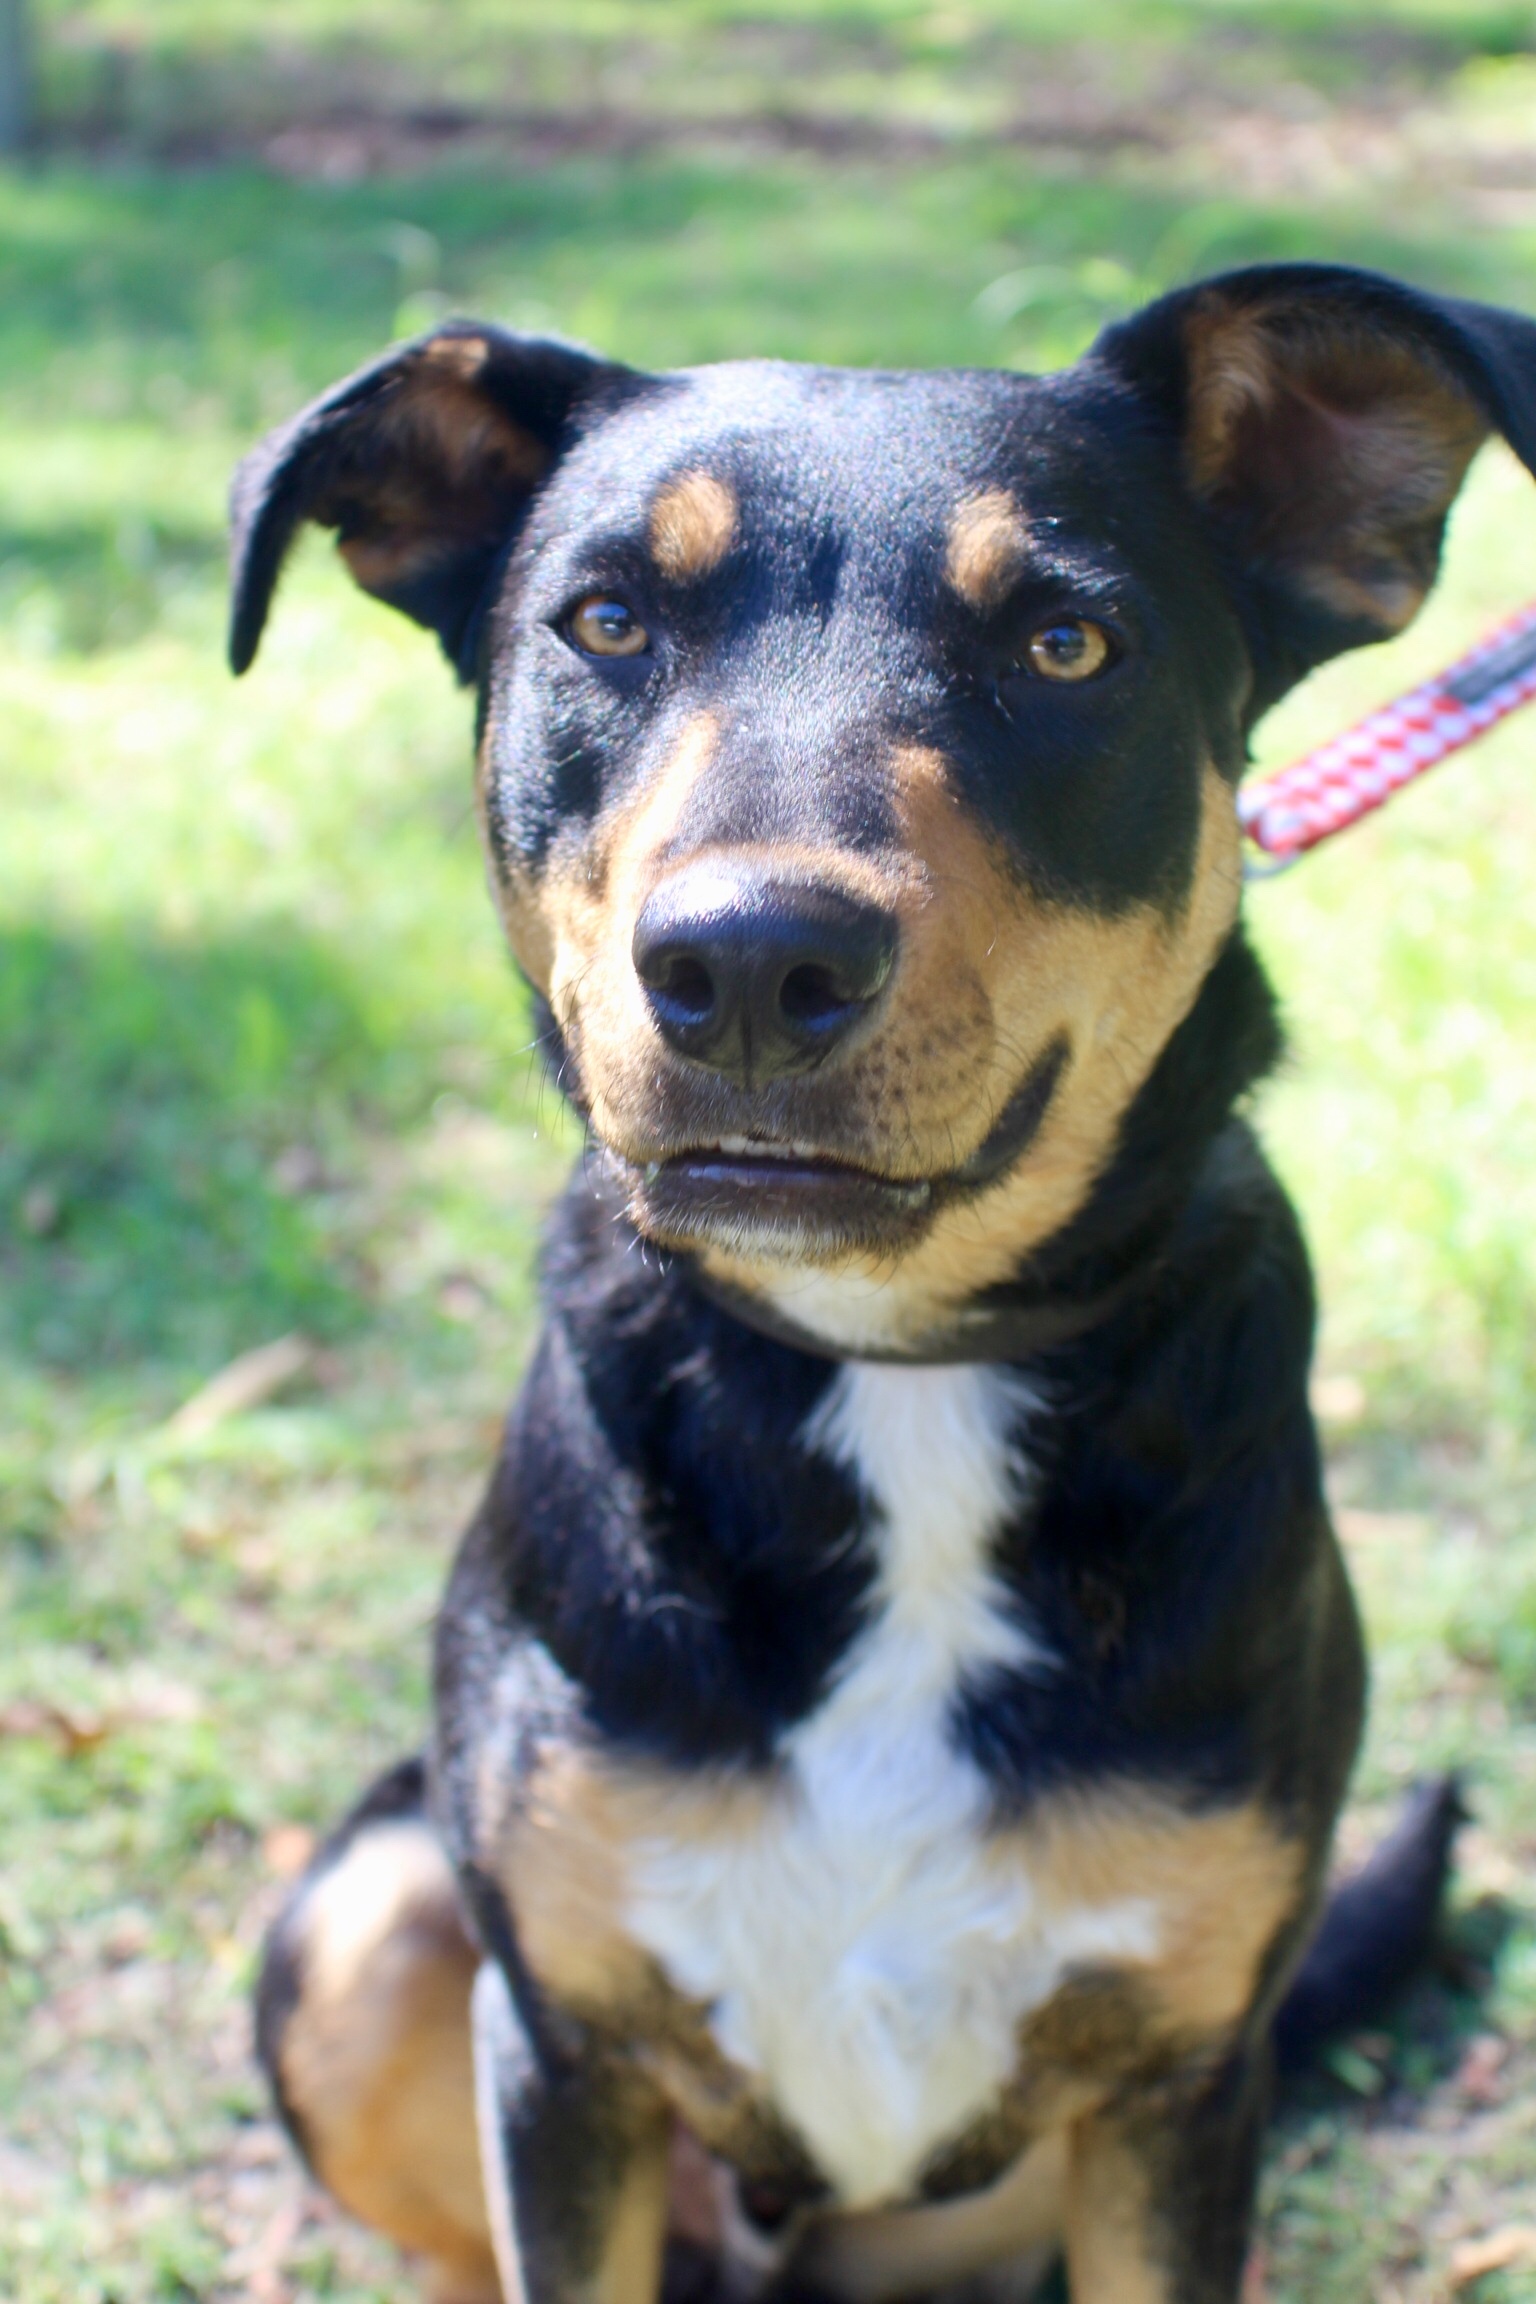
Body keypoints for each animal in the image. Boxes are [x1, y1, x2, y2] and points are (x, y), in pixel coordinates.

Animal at [230, 263, 1526, 2304]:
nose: (751, 963)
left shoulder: (1179, 2085)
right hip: (368, 1915)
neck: (895, 1367)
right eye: (607, 620)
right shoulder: (562, 2050)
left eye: (1067, 643)